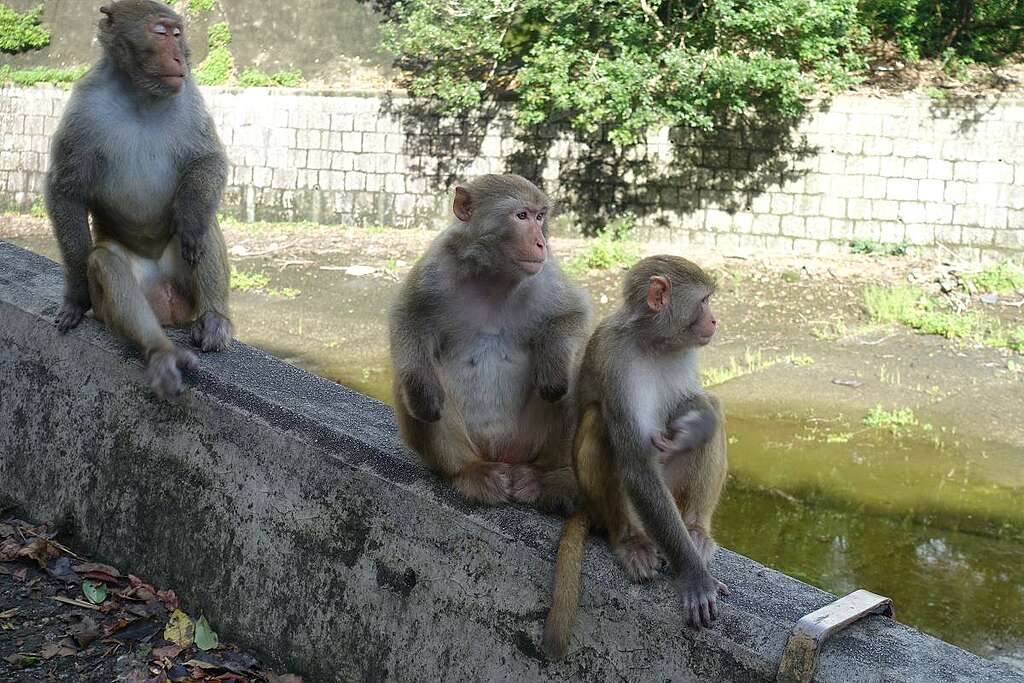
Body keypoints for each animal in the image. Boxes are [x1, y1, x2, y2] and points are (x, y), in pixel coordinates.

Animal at [45, 0, 232, 401]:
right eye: (160, 33)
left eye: (177, 33)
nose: (179, 55)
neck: (140, 97)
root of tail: (169, 308)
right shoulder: (83, 104)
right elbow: (65, 190)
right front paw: (75, 298)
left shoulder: (188, 95)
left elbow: (207, 160)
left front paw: (192, 218)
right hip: (140, 289)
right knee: (105, 262)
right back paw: (162, 351)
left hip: (183, 282)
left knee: (203, 226)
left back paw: (214, 321)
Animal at [387, 174, 593, 509]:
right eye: (521, 216)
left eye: (540, 216)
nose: (541, 242)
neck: (494, 276)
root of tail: (503, 456)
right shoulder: (437, 265)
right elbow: (408, 316)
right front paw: (424, 395)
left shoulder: (544, 274)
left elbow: (573, 314)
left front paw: (553, 373)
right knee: (415, 375)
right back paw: (470, 473)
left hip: (529, 441)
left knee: (579, 372)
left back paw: (547, 479)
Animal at [540, 253, 733, 659]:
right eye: (704, 301)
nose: (714, 320)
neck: (654, 342)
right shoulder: (616, 359)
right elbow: (635, 461)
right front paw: (694, 575)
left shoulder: (685, 352)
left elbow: (696, 402)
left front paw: (693, 426)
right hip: (620, 510)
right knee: (599, 421)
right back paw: (629, 540)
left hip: (675, 490)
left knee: (712, 407)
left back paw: (696, 530)